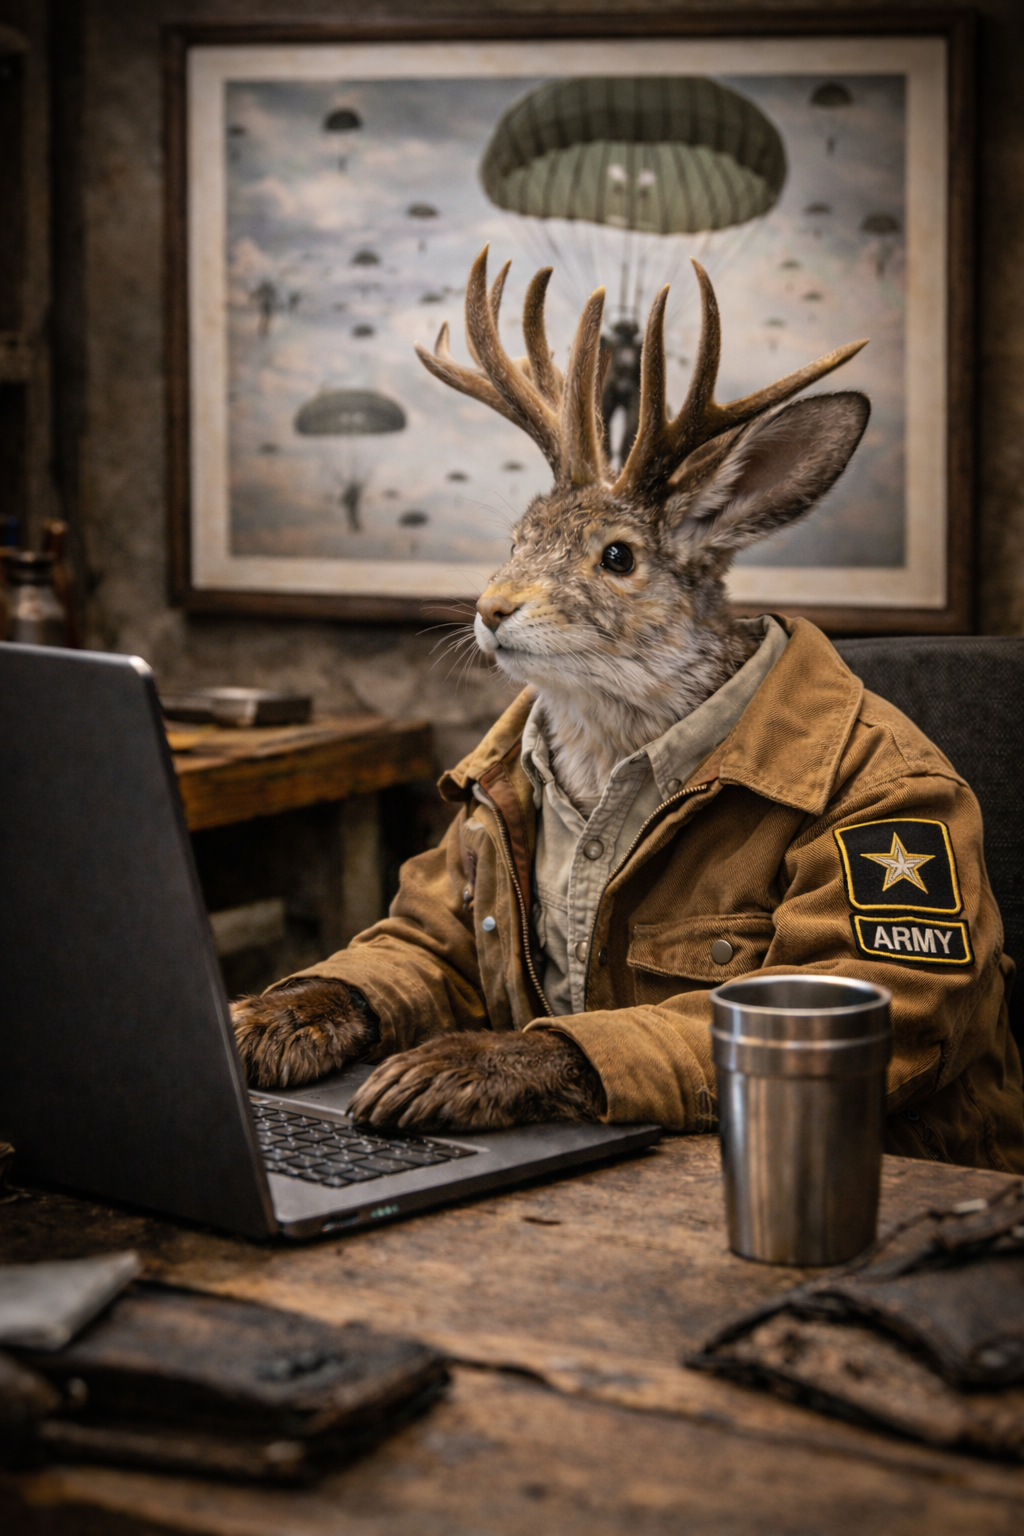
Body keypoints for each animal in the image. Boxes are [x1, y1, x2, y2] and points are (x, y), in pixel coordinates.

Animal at [231, 246, 869, 1131]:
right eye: (517, 537)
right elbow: (401, 947)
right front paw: (263, 1018)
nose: (492, 606)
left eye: (618, 556)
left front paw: (444, 1070)